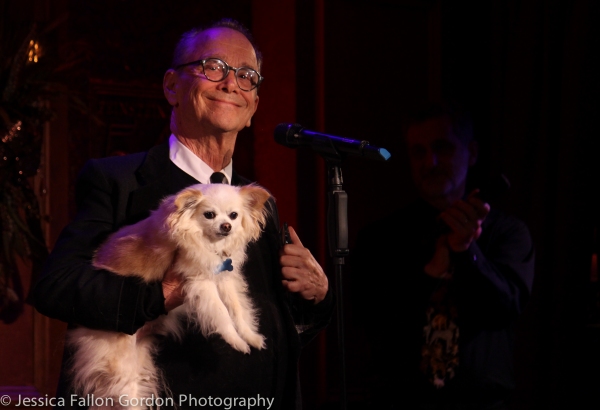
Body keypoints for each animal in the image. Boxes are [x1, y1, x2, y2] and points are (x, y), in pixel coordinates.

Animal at [67, 183, 270, 410]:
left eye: (234, 215)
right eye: (209, 215)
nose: (226, 226)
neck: (210, 244)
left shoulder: (224, 279)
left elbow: (238, 309)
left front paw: (250, 336)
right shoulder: (200, 282)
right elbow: (221, 312)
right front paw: (235, 340)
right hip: (120, 370)